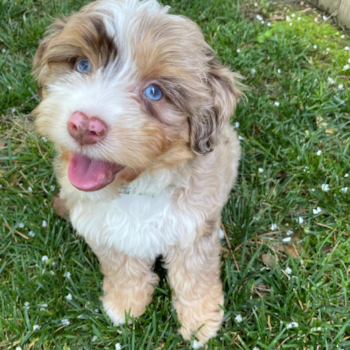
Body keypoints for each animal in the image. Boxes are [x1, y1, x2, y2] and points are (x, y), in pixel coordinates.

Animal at [32, 0, 242, 344]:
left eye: (155, 92)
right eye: (82, 65)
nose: (84, 126)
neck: (139, 184)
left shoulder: (192, 229)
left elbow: (194, 275)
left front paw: (200, 322)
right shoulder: (104, 230)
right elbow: (121, 267)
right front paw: (125, 304)